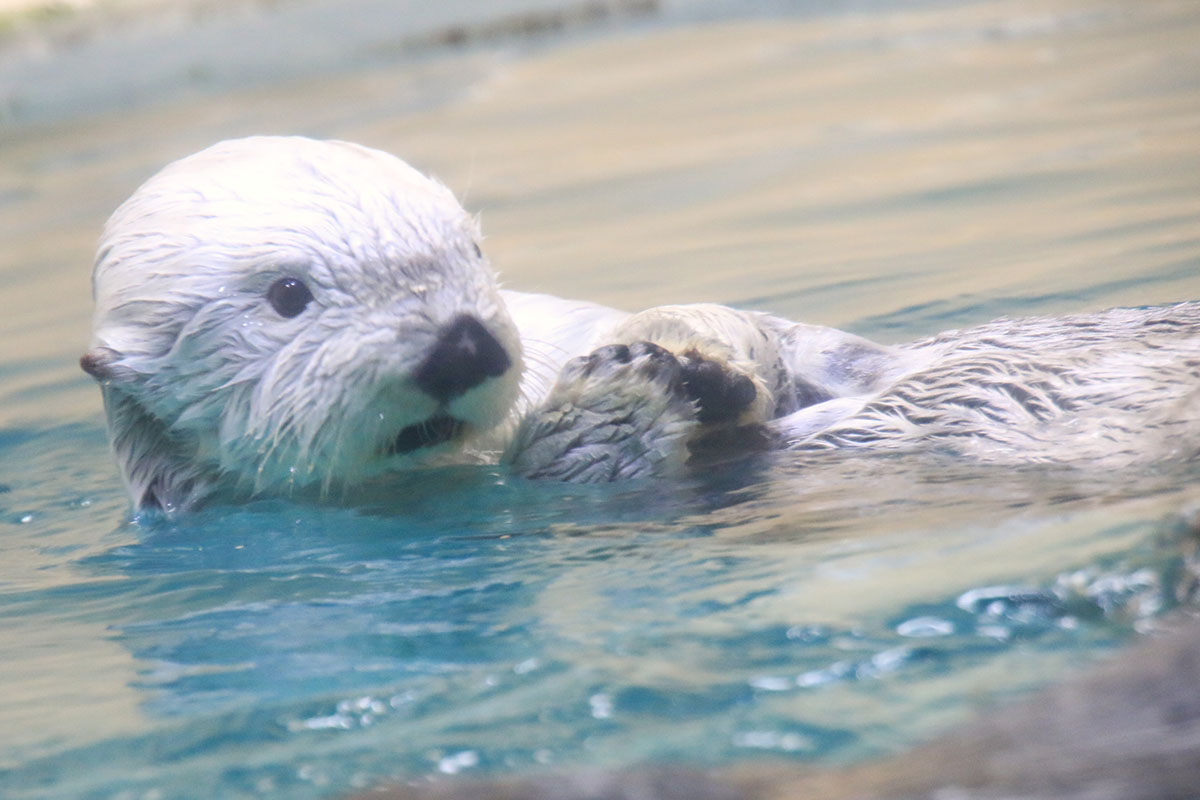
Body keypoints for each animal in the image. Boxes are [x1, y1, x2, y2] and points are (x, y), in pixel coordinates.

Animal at [82, 136, 1200, 513]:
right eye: (287, 296)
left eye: (468, 251)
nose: (464, 340)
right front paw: (636, 386)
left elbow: (783, 339)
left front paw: (692, 354)